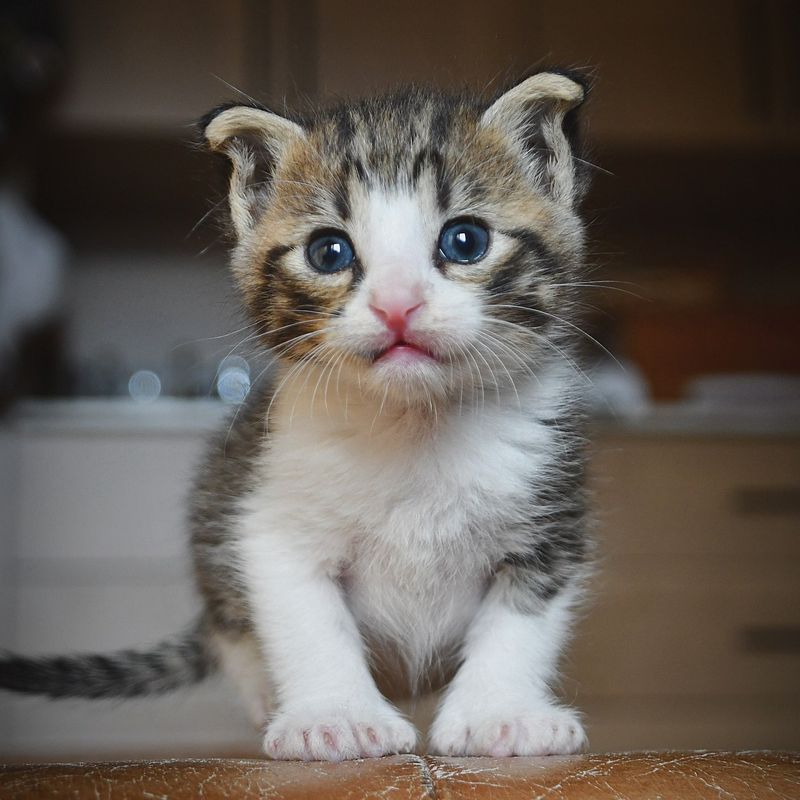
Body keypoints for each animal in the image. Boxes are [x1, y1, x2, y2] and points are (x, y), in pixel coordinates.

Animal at [1, 72, 592, 760]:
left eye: (464, 240)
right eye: (328, 252)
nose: (397, 305)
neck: (415, 424)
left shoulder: (552, 522)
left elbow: (521, 623)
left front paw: (502, 716)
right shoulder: (269, 519)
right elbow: (309, 623)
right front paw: (334, 716)